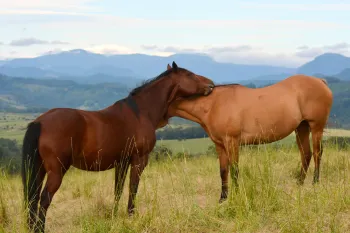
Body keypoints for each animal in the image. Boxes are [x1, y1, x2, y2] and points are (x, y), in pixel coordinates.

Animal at [22, 62, 213, 233]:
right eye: (189, 74)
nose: (211, 84)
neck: (141, 112)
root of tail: (40, 122)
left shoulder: (121, 163)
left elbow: (118, 190)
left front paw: (114, 216)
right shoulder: (139, 160)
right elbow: (133, 188)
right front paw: (131, 215)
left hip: (38, 170)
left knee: (33, 199)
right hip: (56, 171)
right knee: (44, 200)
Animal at [164, 73, 334, 203]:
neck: (213, 104)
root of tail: (320, 81)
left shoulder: (232, 142)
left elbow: (234, 169)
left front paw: (236, 196)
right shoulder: (220, 144)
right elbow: (223, 171)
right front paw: (223, 198)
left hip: (316, 127)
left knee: (317, 152)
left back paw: (315, 182)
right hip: (301, 128)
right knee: (306, 153)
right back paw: (299, 183)